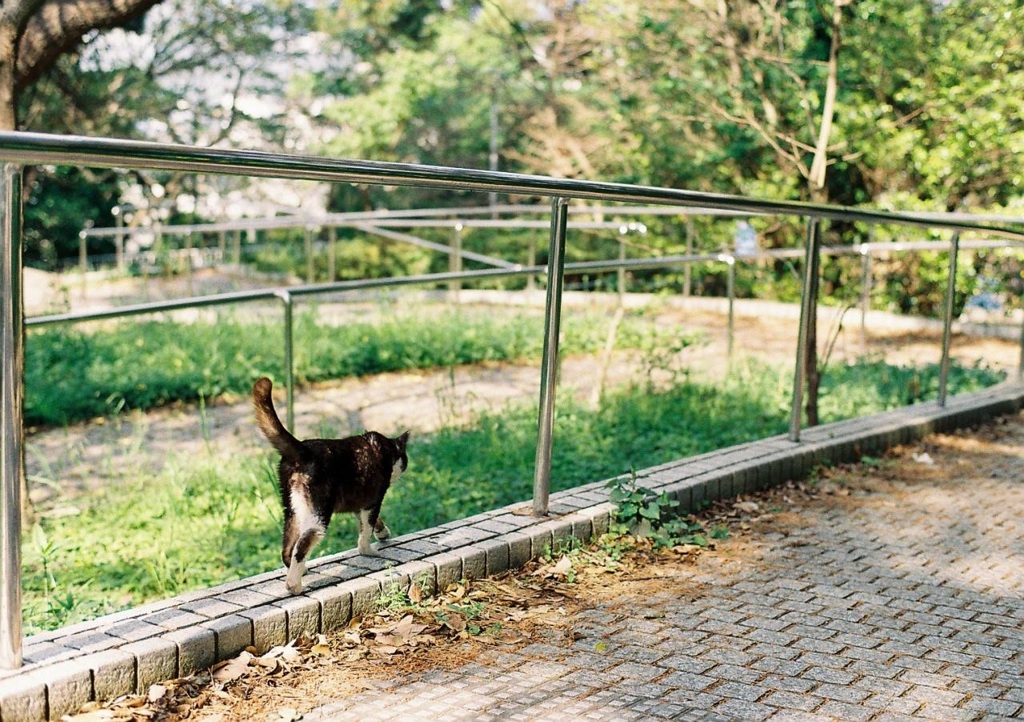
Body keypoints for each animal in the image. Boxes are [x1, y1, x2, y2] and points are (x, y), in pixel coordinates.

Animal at [250, 374, 407, 593]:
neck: (383, 448)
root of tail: (304, 450)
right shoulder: (373, 499)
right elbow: (366, 529)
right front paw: (368, 550)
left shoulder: (360, 501)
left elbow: (373, 522)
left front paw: (383, 533)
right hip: (318, 513)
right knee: (303, 543)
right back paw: (294, 585)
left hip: (292, 509)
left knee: (287, 547)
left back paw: (299, 571)